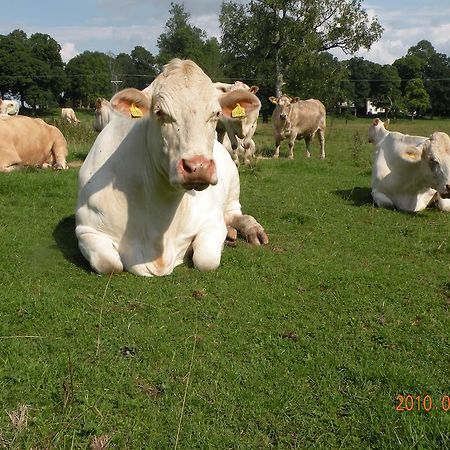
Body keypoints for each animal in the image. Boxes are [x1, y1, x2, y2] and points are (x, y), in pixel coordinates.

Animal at [75, 59, 268, 278]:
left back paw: (250, 229)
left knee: (236, 214)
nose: (198, 166)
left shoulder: (212, 221)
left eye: (216, 113)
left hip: (233, 186)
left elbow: (206, 259)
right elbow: (109, 264)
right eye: (160, 112)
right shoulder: (86, 228)